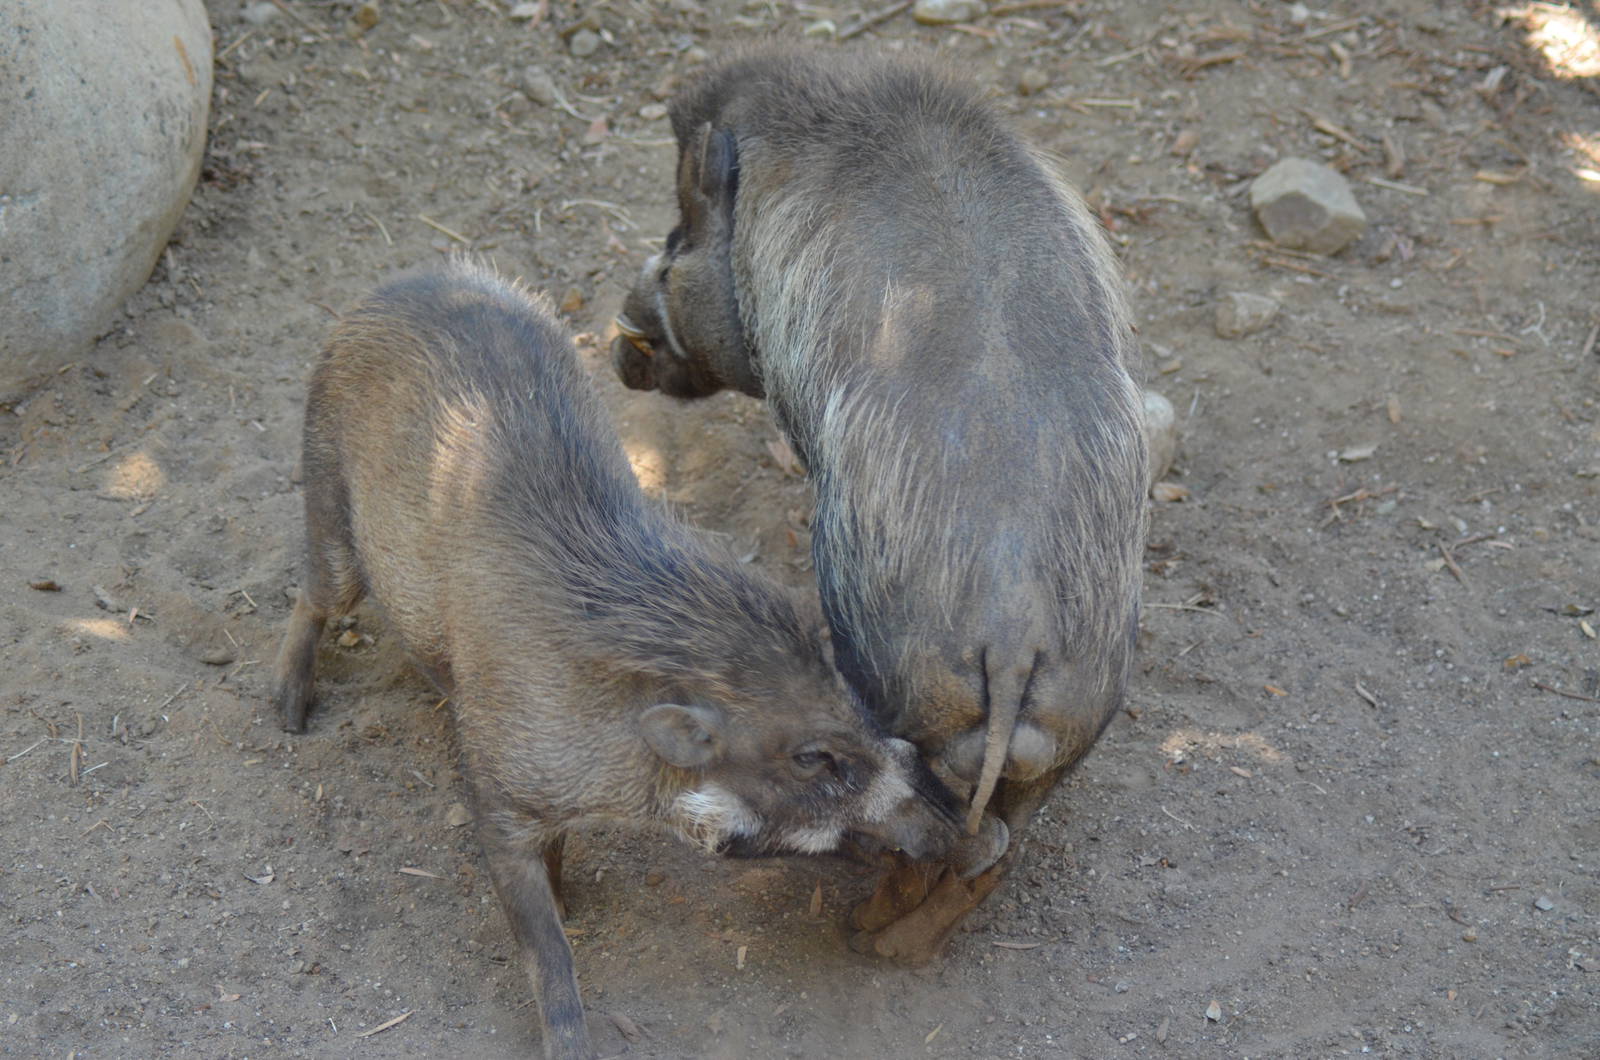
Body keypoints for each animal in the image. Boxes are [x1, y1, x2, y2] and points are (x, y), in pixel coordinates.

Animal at [270, 259, 1002, 1059]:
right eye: (812, 760)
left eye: (857, 704)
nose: (988, 836)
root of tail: (402, 283)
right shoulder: (498, 802)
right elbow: (549, 955)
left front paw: (570, 898)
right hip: (330, 509)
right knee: (313, 599)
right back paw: (287, 716)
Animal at [612, 47, 1148, 965]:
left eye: (680, 235)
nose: (622, 331)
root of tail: (1016, 637)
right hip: (1070, 733)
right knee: (992, 852)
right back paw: (899, 944)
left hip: (900, 687)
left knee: (939, 839)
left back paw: (867, 936)